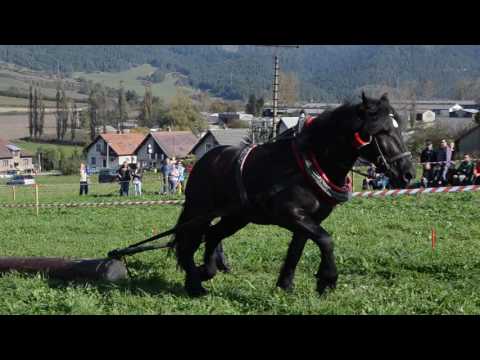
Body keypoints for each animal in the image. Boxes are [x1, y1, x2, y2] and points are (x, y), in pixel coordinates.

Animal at [173, 92, 416, 296]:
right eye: (381, 131)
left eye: (399, 129)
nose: (408, 174)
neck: (307, 164)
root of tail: (202, 161)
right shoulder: (291, 214)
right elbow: (326, 241)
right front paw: (327, 280)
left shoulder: (308, 220)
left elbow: (296, 252)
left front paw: (285, 285)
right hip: (199, 211)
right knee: (188, 245)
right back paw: (195, 284)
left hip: (237, 217)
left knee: (213, 235)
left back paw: (207, 271)